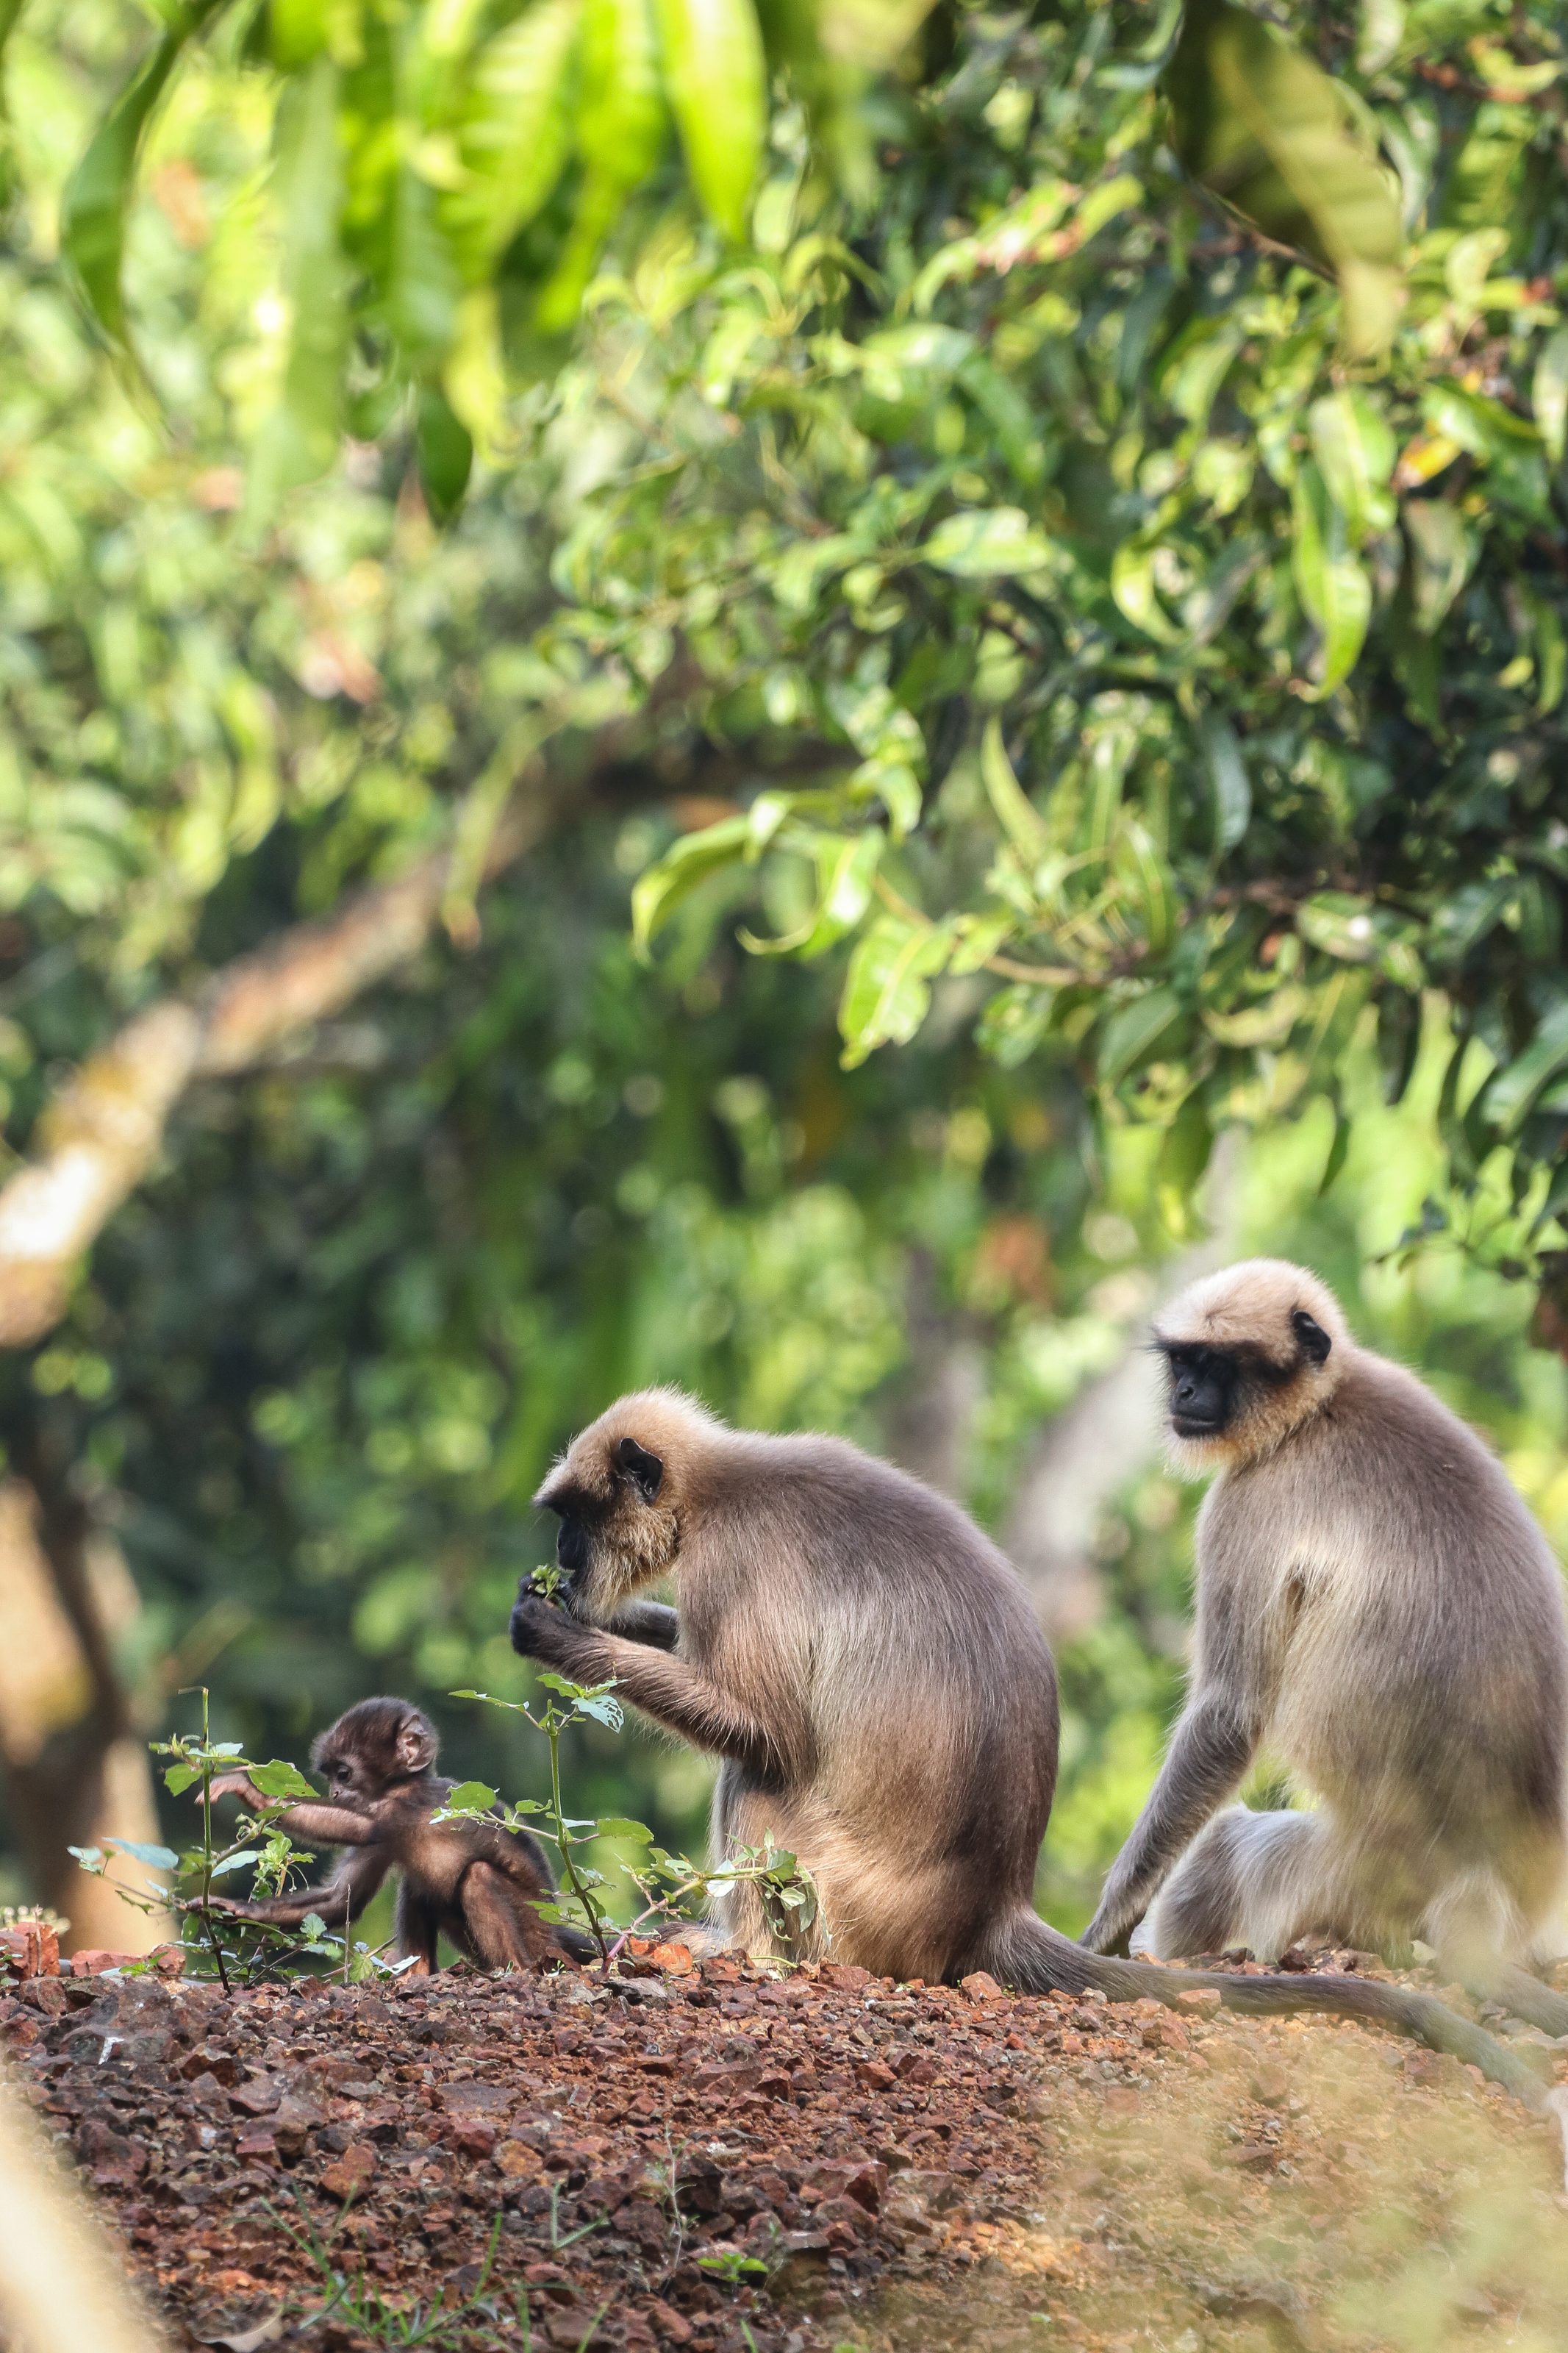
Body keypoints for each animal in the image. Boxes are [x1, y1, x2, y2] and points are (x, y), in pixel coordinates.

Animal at [512, 1374, 1542, 2099]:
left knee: (761, 1773)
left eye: (574, 1518)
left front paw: (559, 1634)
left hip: (855, 1901)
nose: (562, 1559)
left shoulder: (736, 1566)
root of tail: (994, 1904)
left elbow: (760, 1727)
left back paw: (740, 1953)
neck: (721, 1487)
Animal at [1086, 1252, 1568, 2042]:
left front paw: (1105, 1928)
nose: (1184, 1392)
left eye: (1214, 1365)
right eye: (1183, 1362)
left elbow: (1230, 1715)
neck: (1318, 1407)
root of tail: (1479, 1884)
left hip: (1341, 1879)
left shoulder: (1245, 1502)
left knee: (1224, 1846)